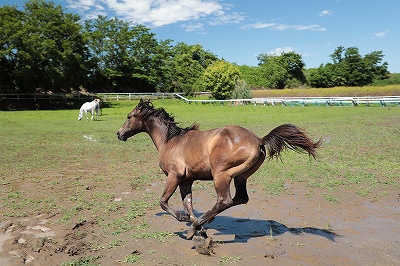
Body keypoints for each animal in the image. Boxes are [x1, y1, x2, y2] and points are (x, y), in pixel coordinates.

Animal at [116, 100, 322, 239]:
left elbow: (163, 202)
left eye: (128, 117)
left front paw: (186, 222)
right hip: (241, 177)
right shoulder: (186, 181)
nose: (119, 134)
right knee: (240, 198)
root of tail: (259, 140)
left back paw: (199, 224)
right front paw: (196, 226)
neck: (171, 141)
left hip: (221, 175)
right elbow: (188, 204)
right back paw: (202, 223)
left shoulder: (174, 176)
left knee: (225, 200)